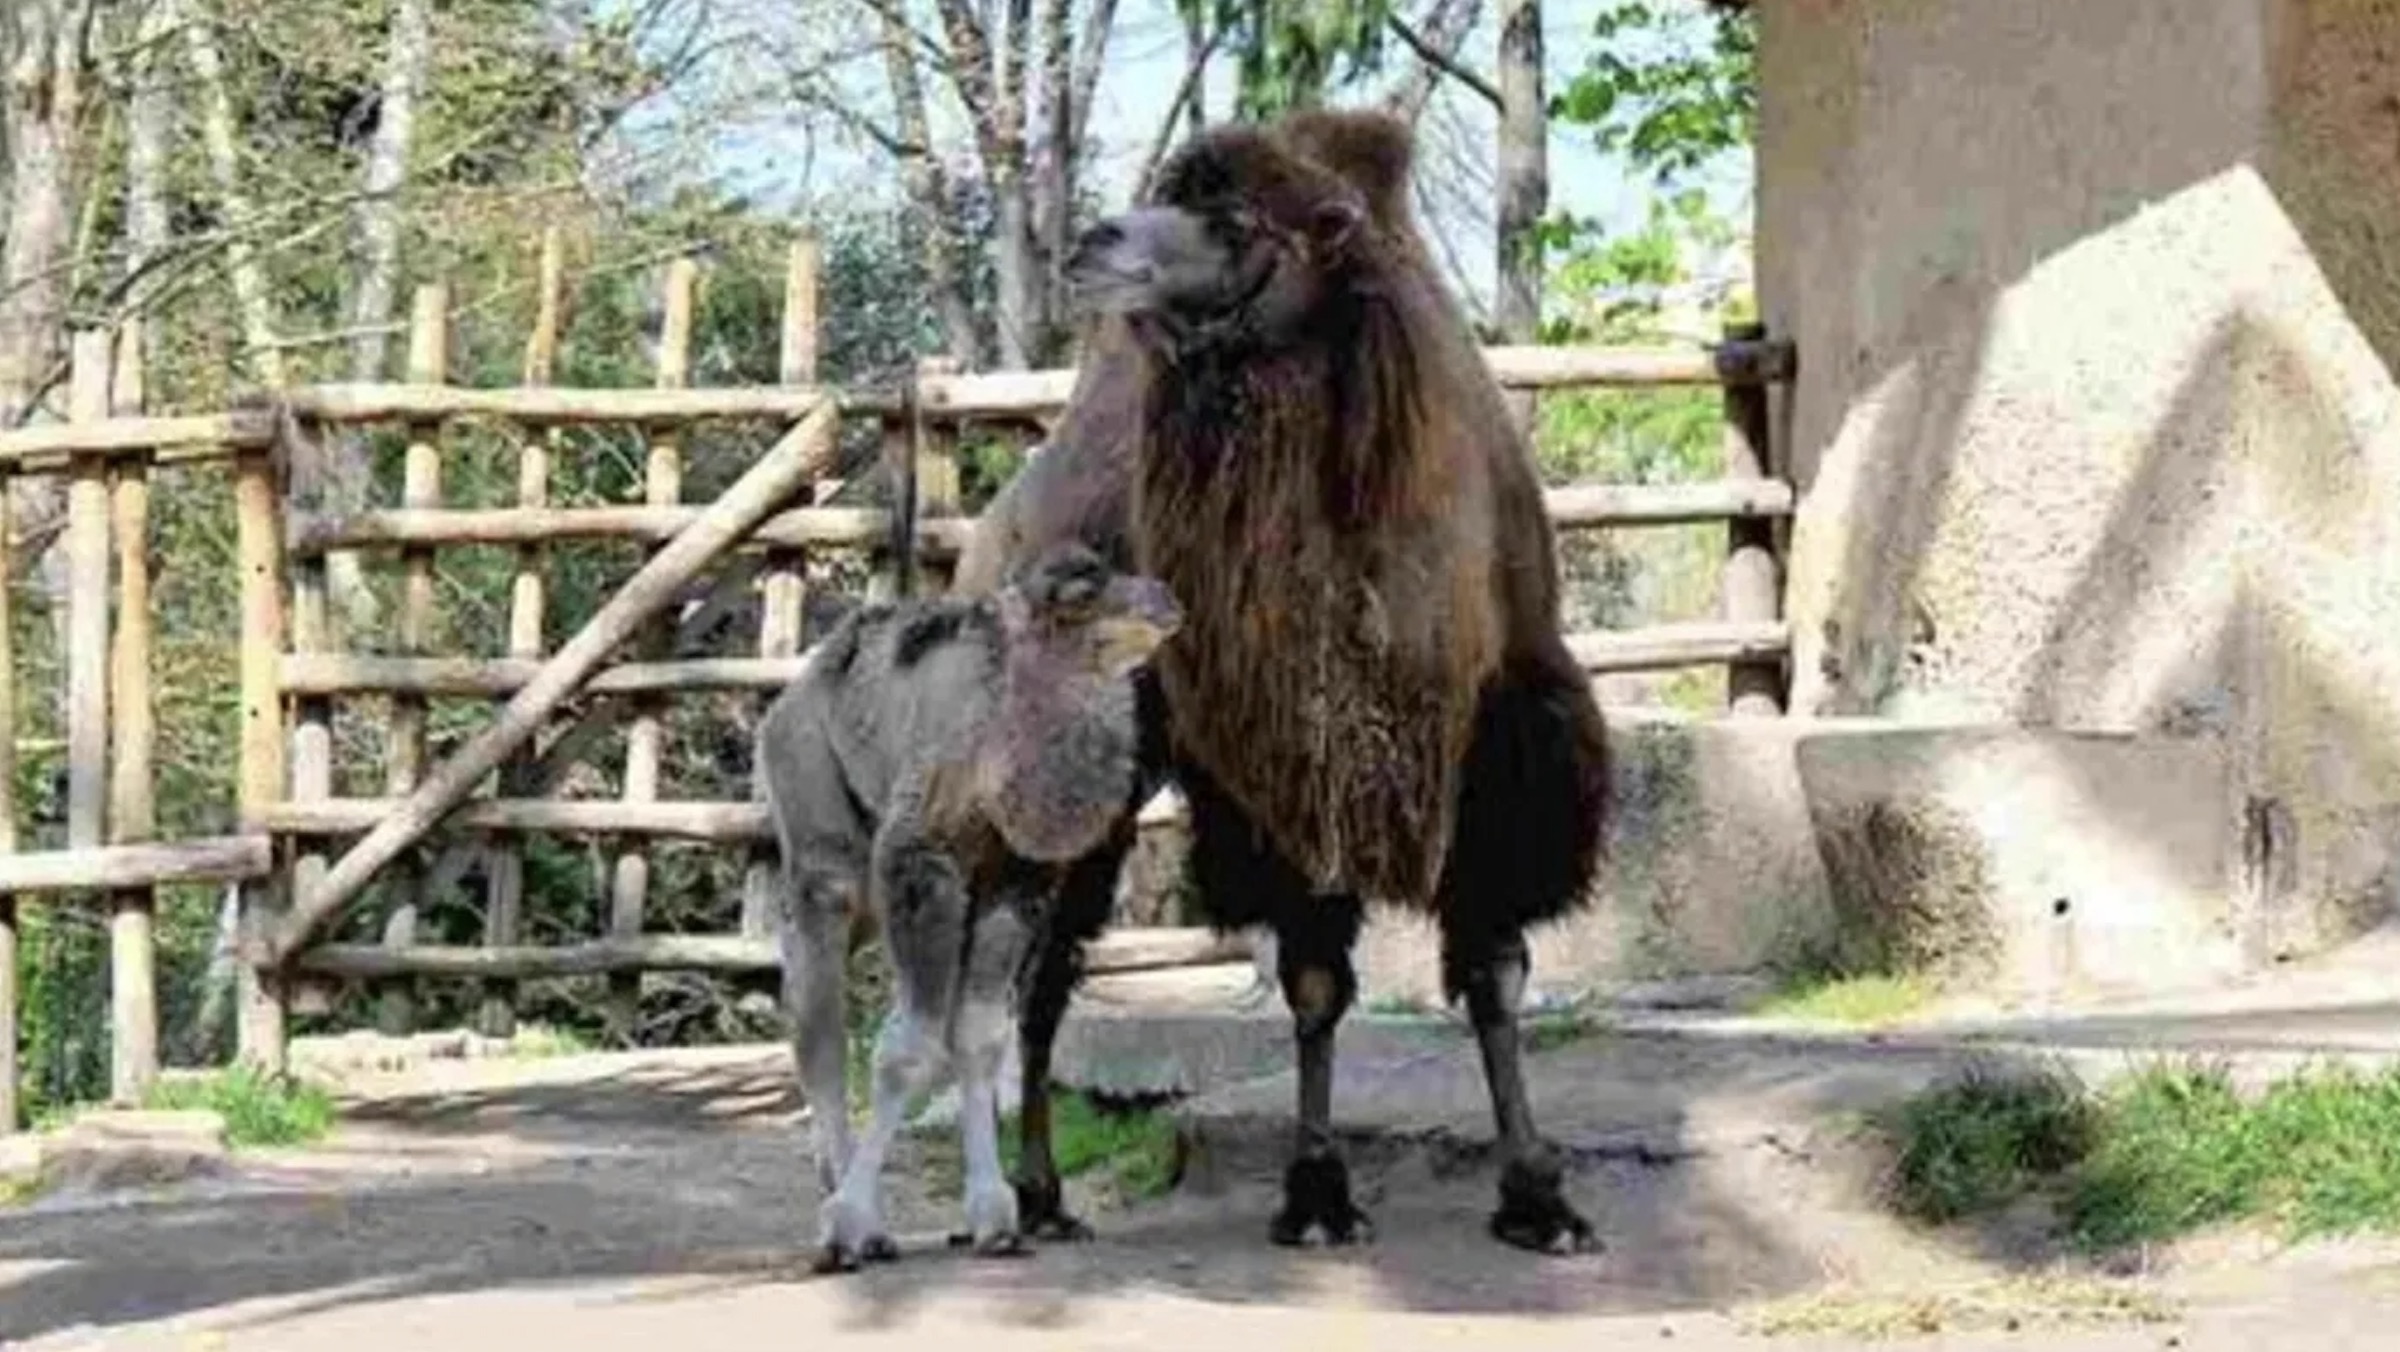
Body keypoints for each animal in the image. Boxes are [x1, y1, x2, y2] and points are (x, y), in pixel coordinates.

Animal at [758, 545, 1180, 1277]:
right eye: (1082, 589)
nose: (1165, 601)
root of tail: (788, 696)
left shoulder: (1017, 880)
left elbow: (978, 1034)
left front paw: (995, 1219)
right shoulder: (922, 861)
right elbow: (906, 1048)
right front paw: (849, 1223)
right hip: (819, 824)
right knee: (821, 1018)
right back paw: (851, 1220)